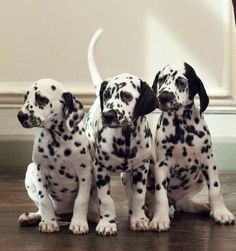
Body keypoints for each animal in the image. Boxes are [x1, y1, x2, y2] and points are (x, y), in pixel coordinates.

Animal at [16, 79, 97, 234]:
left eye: (41, 99)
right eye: (25, 98)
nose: (20, 116)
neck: (57, 139)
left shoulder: (85, 172)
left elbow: (81, 200)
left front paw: (78, 223)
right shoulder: (39, 171)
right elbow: (44, 200)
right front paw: (48, 222)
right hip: (30, 171)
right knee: (40, 208)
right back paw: (32, 217)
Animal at [86, 29, 159, 235]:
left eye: (126, 96)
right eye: (106, 95)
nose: (108, 115)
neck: (125, 139)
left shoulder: (142, 167)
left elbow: (139, 195)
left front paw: (139, 219)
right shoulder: (100, 169)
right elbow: (106, 199)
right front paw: (107, 223)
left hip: (128, 174)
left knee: (130, 192)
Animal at [147, 62, 235, 231]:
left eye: (181, 82)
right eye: (161, 79)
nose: (163, 97)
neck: (182, 126)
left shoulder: (209, 162)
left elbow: (216, 190)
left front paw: (221, 212)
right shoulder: (162, 165)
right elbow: (160, 194)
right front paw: (160, 218)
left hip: (198, 180)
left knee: (183, 203)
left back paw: (201, 207)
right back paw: (153, 211)